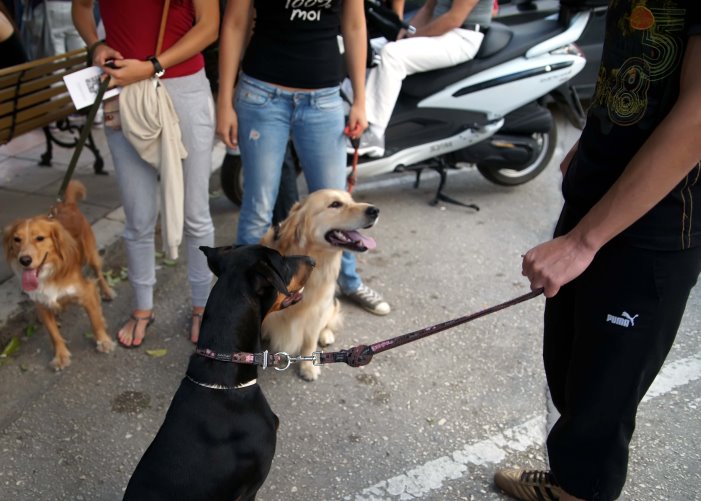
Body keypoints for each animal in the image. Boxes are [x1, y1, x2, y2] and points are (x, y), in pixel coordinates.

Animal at [3, 180, 115, 368]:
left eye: (40, 238)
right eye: (16, 240)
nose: (24, 260)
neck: (50, 273)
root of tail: (66, 205)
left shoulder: (86, 292)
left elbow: (95, 321)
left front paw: (104, 341)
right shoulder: (41, 304)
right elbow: (54, 335)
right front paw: (61, 355)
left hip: (91, 255)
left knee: (98, 273)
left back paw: (107, 292)